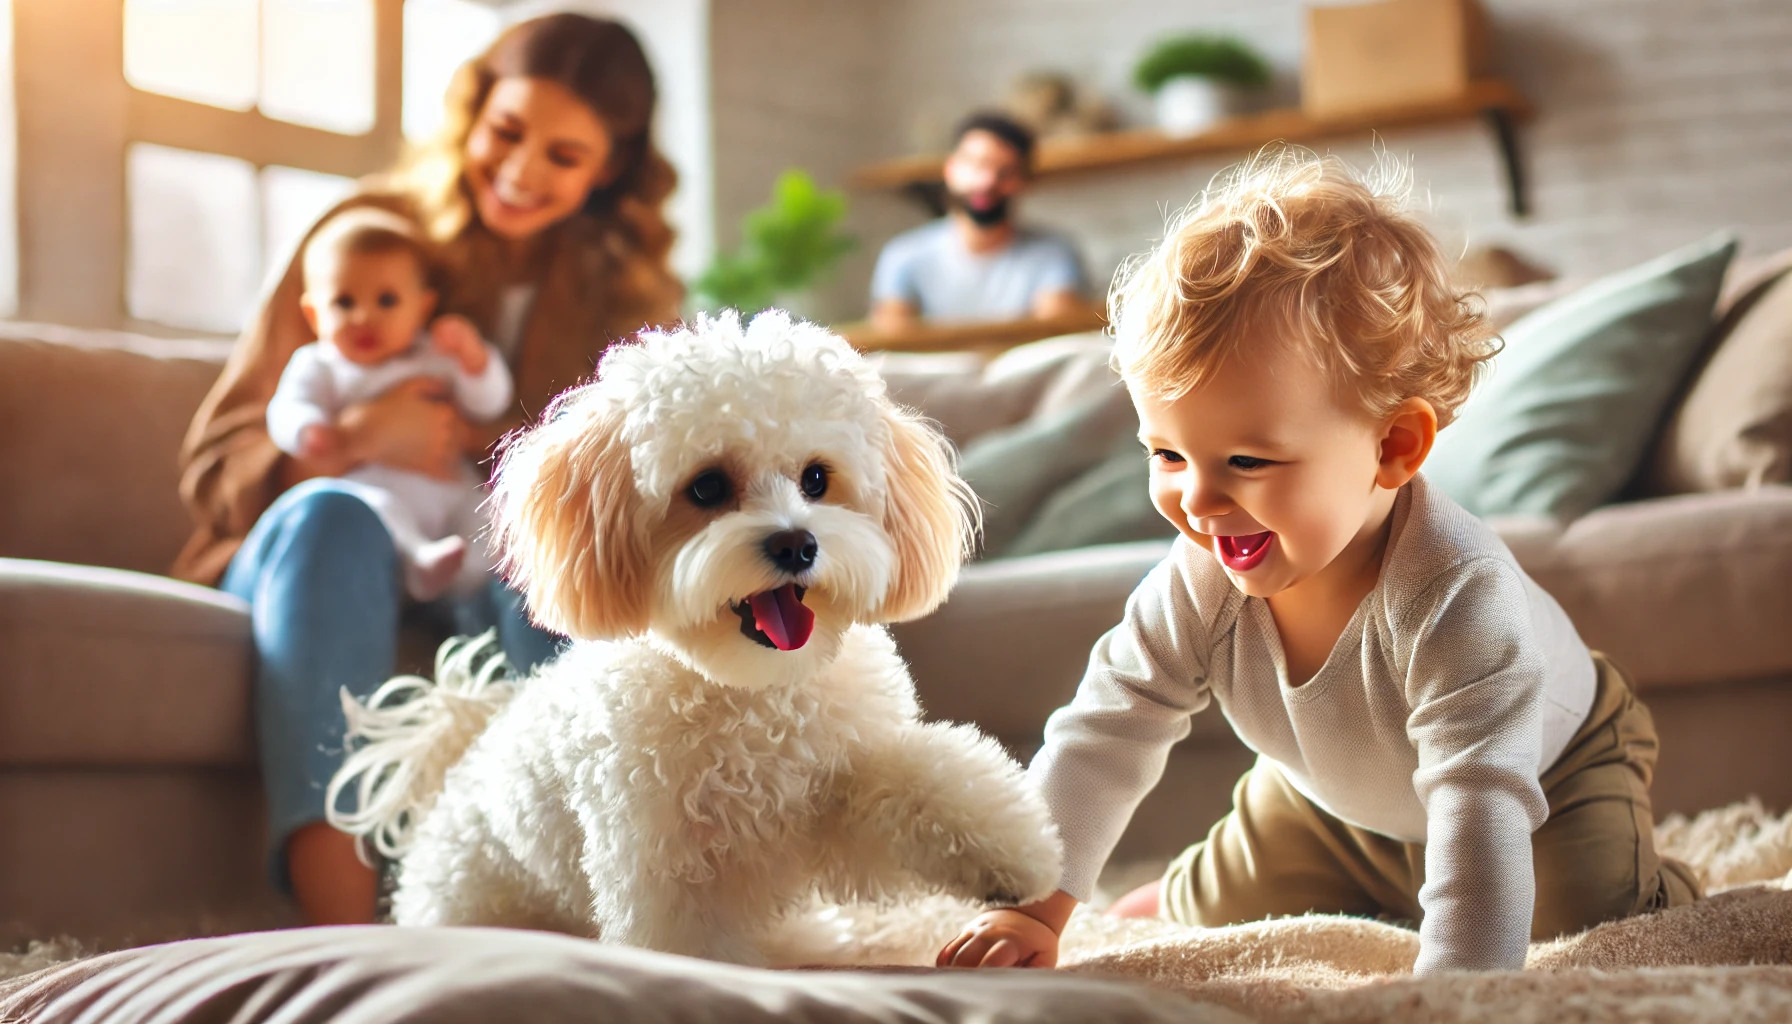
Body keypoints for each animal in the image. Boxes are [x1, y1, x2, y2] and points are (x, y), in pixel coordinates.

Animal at [329, 310, 1060, 961]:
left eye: (815, 478)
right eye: (707, 487)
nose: (796, 544)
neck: (748, 692)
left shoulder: (833, 789)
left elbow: (922, 779)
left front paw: (1011, 858)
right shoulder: (665, 867)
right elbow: (689, 946)